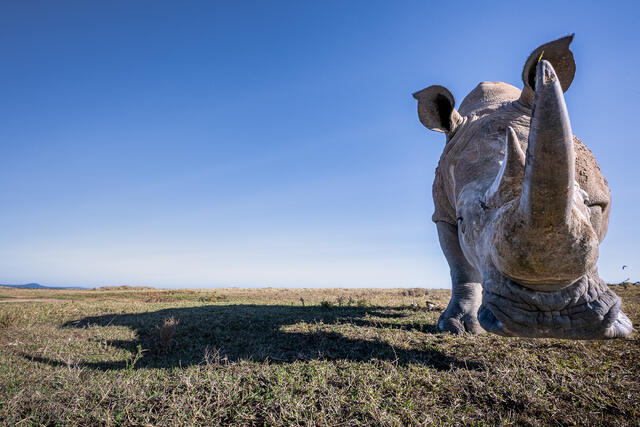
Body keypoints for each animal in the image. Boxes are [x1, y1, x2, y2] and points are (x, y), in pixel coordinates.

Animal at [413, 35, 632, 339]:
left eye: (587, 201)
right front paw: (457, 327)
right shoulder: (442, 212)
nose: (553, 319)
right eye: (462, 219)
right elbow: (461, 269)